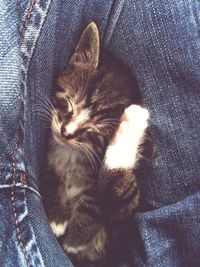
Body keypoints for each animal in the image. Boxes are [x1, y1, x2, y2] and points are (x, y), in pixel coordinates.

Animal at [39, 22, 154, 266]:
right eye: (69, 104)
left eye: (93, 132)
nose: (65, 132)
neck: (72, 156)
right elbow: (48, 172)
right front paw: (57, 218)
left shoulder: (120, 225)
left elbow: (110, 197)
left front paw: (76, 238)